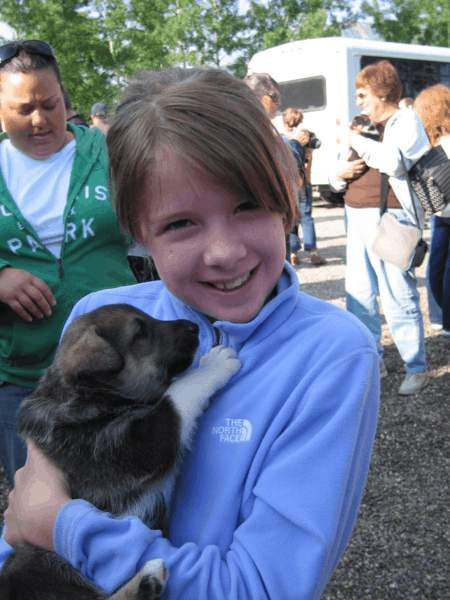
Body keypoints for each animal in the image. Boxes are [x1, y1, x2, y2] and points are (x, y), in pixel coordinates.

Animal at [0, 304, 241, 600]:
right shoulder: (130, 449)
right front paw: (215, 364)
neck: (90, 396)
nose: (194, 327)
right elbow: (175, 396)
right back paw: (145, 581)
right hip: (27, 559)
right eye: (140, 333)